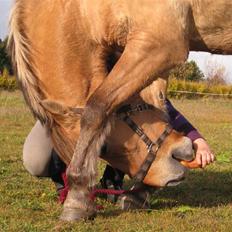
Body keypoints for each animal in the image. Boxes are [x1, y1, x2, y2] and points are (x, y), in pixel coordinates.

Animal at [8, 0, 231, 221]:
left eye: (102, 146)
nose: (180, 154)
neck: (84, 10)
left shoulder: (160, 44)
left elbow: (96, 108)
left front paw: (76, 200)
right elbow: (162, 106)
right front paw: (140, 193)